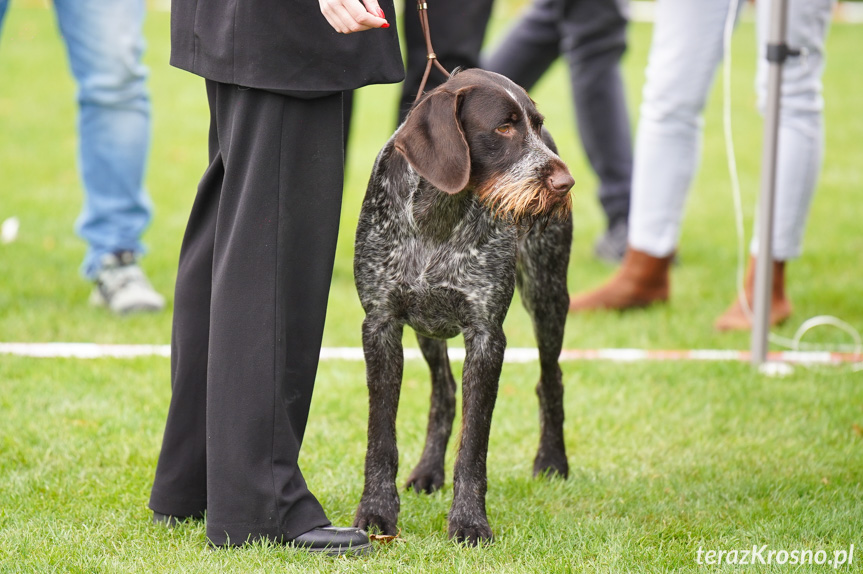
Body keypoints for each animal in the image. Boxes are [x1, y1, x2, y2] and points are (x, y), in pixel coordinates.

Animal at [352, 67, 572, 544]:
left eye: (536, 124)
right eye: (504, 127)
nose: (565, 185)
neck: (438, 213)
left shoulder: (486, 335)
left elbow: (474, 444)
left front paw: (469, 521)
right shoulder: (381, 324)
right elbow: (381, 436)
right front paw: (376, 512)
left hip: (547, 293)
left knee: (550, 380)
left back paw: (552, 461)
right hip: (426, 330)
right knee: (444, 393)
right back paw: (428, 470)